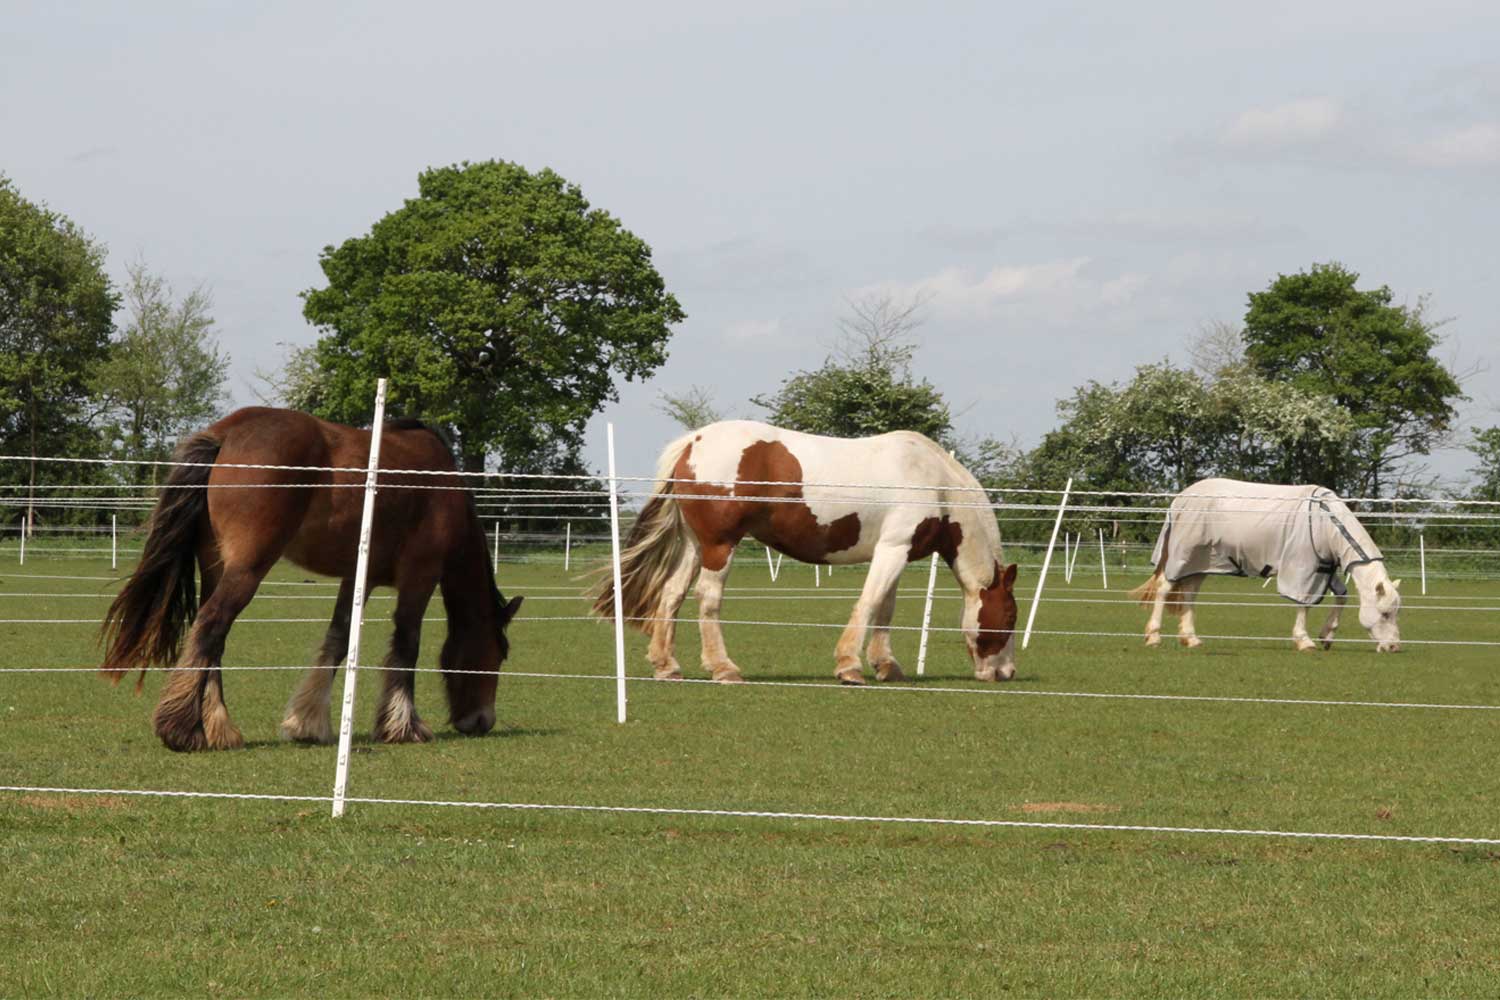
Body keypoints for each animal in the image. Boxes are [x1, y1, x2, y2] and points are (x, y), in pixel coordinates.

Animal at [99, 407, 522, 749]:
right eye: (499, 653)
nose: (482, 721)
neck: (443, 487)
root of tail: (227, 434)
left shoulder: (358, 577)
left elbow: (338, 638)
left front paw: (307, 722)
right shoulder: (420, 575)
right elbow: (407, 644)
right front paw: (404, 726)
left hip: (217, 566)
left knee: (211, 640)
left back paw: (218, 728)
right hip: (247, 569)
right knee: (211, 626)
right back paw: (184, 730)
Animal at [594, 419, 1020, 683]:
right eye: (1011, 616)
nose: (1007, 672)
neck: (933, 482)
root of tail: (692, 443)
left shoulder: (894, 553)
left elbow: (885, 609)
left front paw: (886, 666)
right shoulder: (893, 549)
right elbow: (869, 604)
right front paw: (849, 666)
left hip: (695, 546)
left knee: (671, 595)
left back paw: (667, 666)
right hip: (719, 545)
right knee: (708, 599)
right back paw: (724, 668)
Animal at [1134, 479, 1404, 653]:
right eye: (1385, 614)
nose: (1393, 646)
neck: (1324, 520)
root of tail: (1179, 500)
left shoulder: (1324, 568)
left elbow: (1342, 595)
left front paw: (1327, 635)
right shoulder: (1303, 567)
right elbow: (1304, 604)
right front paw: (1304, 641)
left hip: (1200, 562)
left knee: (1189, 594)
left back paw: (1191, 639)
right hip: (1183, 556)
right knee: (1164, 588)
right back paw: (1154, 636)